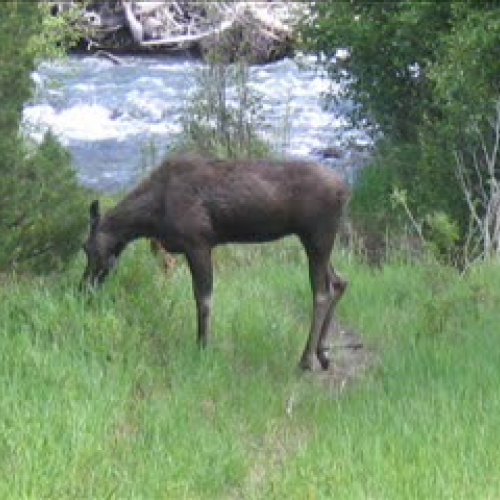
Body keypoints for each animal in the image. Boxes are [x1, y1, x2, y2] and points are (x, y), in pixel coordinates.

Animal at [81, 156, 348, 372]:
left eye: (85, 247)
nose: (83, 288)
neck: (149, 218)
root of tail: (345, 190)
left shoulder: (198, 243)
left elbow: (204, 300)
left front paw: (202, 348)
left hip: (318, 236)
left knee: (321, 293)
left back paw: (306, 360)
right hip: (317, 243)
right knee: (339, 281)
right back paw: (323, 353)